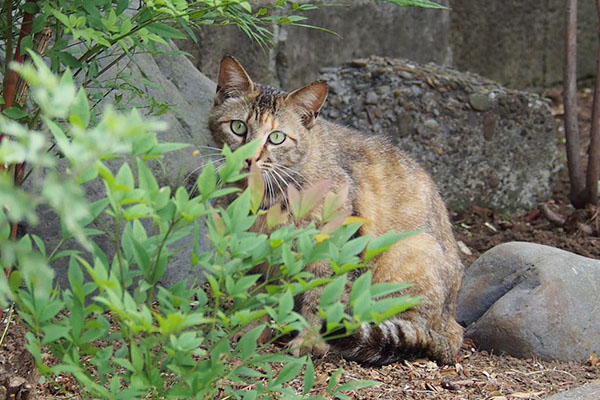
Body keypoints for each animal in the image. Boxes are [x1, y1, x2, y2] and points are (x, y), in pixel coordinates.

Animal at [206, 54, 464, 368]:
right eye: (238, 127)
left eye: (277, 137)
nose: (249, 159)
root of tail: (453, 325)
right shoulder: (258, 250)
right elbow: (259, 293)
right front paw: (252, 330)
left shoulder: (333, 245)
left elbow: (323, 296)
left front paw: (309, 341)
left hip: (409, 251)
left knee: (413, 330)